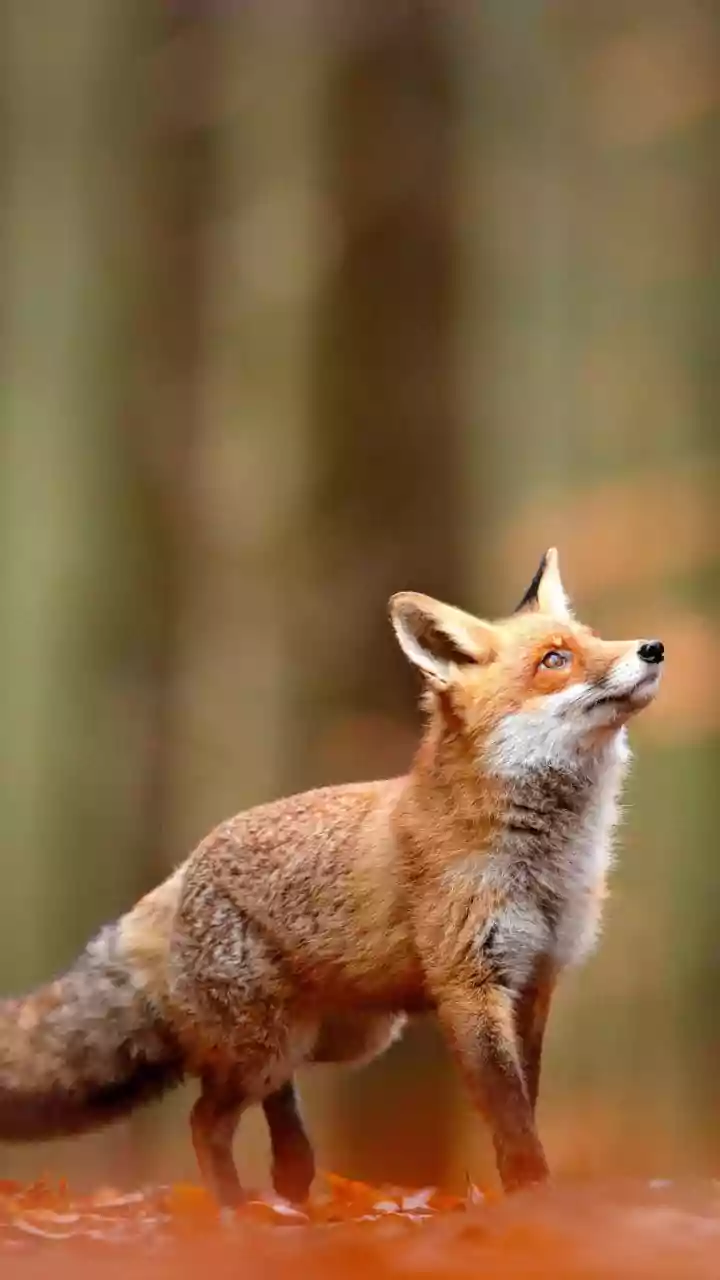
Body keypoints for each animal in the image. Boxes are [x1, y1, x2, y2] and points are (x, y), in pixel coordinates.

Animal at [0, 549, 664, 1203]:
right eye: (555, 659)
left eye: (593, 639)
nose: (653, 647)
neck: (547, 859)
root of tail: (186, 865)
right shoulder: (471, 985)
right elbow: (510, 1117)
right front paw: (533, 1199)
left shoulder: (535, 980)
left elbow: (525, 1103)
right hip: (269, 1044)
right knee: (205, 1120)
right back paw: (235, 1211)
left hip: (341, 1038)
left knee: (271, 1097)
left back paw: (293, 1176)